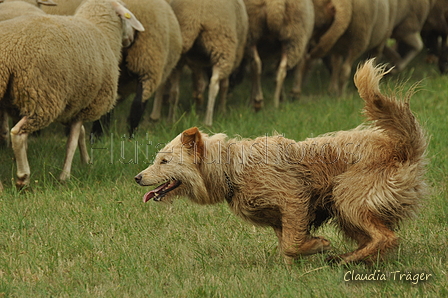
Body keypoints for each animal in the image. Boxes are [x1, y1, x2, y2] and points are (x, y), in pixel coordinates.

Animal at [0, 0, 144, 190]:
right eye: (126, 15)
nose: (132, 38)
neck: (102, 32)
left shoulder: (75, 106)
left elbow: (81, 133)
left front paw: (86, 162)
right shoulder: (86, 106)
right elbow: (72, 142)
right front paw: (65, 176)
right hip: (42, 98)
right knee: (17, 133)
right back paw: (23, 178)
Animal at [135, 59, 428, 264]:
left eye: (164, 161)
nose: (137, 177)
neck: (231, 169)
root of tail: (401, 145)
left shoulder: (294, 199)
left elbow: (291, 244)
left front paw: (317, 245)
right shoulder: (280, 218)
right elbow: (288, 245)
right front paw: (295, 263)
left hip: (347, 196)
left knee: (386, 236)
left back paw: (346, 259)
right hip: (345, 210)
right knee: (378, 238)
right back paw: (353, 258)